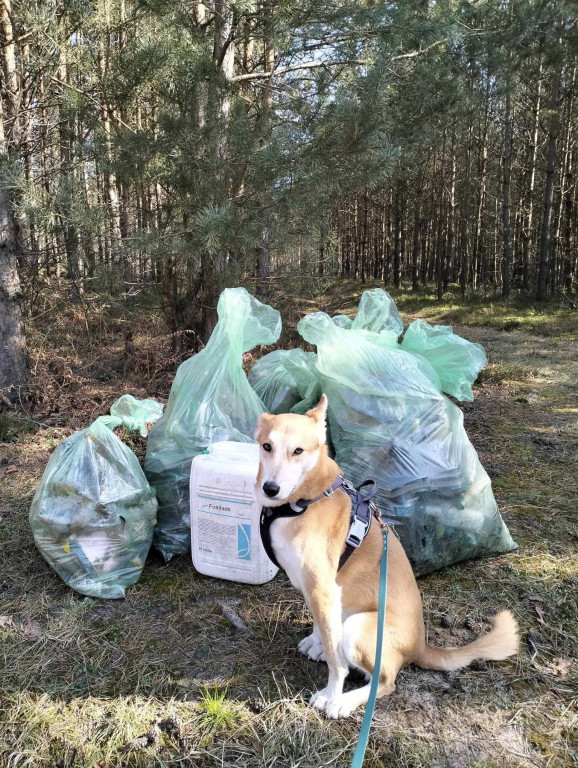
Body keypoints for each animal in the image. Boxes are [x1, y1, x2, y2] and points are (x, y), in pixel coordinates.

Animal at [252, 396, 516, 720]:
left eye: (298, 451)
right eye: (267, 446)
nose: (271, 488)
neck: (306, 497)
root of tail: (420, 645)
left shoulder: (322, 588)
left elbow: (336, 664)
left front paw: (331, 693)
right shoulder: (316, 589)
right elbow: (321, 627)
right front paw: (317, 641)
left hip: (358, 628)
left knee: (385, 680)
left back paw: (345, 701)